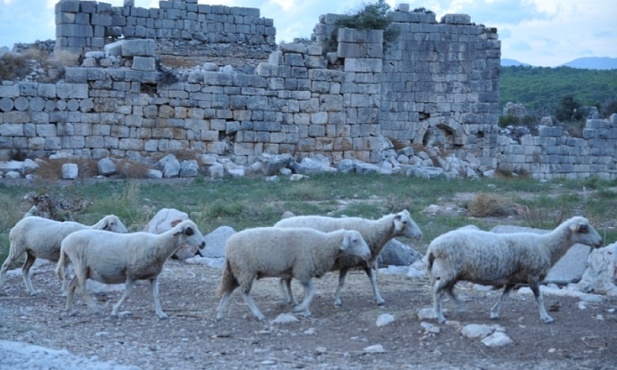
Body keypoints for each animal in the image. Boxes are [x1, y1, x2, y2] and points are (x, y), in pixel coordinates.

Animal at [56, 218, 205, 320]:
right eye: (189, 231)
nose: (203, 244)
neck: (159, 245)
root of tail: (65, 242)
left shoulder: (153, 276)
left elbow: (156, 295)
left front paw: (161, 313)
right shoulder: (131, 273)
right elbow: (127, 294)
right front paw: (115, 311)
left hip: (85, 269)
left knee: (71, 285)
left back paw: (70, 310)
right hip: (79, 263)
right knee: (81, 289)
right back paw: (95, 309)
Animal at [217, 225, 370, 320]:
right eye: (355, 240)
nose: (368, 254)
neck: (323, 244)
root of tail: (228, 245)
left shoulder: (305, 272)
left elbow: (307, 292)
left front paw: (305, 311)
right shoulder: (302, 271)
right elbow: (311, 292)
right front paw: (301, 308)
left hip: (236, 271)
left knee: (228, 291)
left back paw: (220, 314)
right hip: (245, 270)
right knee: (245, 293)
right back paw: (259, 315)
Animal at [274, 210, 422, 308]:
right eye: (405, 222)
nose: (420, 235)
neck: (373, 232)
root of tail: (276, 225)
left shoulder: (365, 261)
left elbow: (373, 280)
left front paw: (379, 299)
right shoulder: (347, 262)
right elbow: (341, 282)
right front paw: (337, 301)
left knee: (287, 281)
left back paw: (291, 300)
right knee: (286, 281)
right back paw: (292, 300)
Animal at [424, 217, 600, 324]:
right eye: (584, 229)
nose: (600, 241)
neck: (547, 246)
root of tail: (433, 245)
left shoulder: (513, 279)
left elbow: (504, 296)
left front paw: (494, 313)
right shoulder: (532, 276)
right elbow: (539, 298)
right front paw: (546, 317)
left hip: (455, 272)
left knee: (448, 289)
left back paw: (460, 306)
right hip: (450, 269)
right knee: (437, 290)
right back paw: (439, 316)